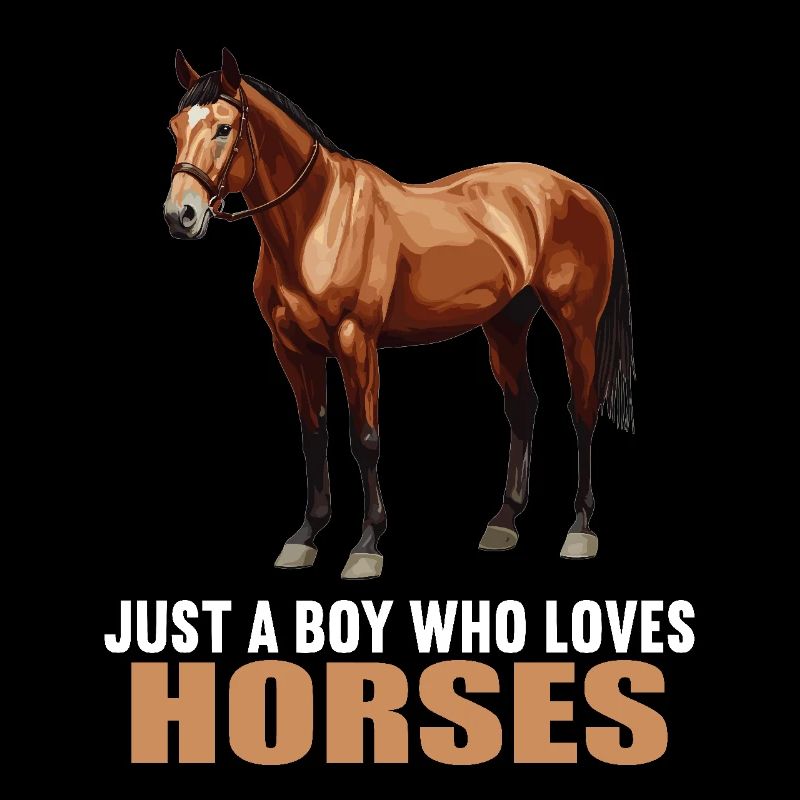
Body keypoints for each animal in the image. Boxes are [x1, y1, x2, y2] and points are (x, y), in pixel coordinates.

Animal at [164, 48, 635, 579]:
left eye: (224, 128)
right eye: (175, 128)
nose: (180, 215)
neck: (318, 221)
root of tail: (581, 191)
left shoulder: (356, 342)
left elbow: (365, 438)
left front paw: (367, 545)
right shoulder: (293, 350)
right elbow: (313, 435)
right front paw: (305, 536)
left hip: (577, 326)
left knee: (582, 410)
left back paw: (580, 529)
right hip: (506, 324)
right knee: (522, 406)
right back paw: (503, 523)